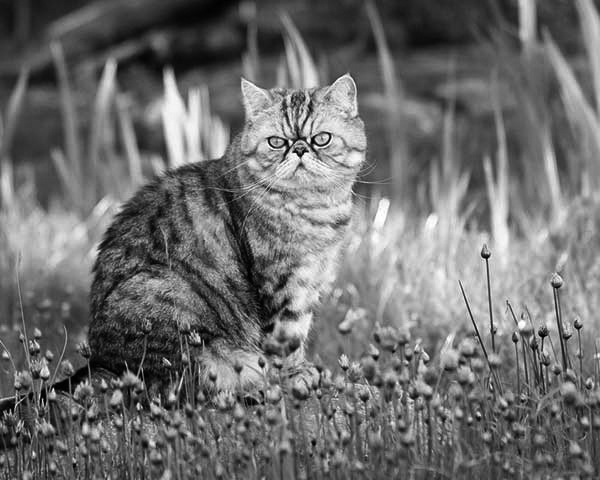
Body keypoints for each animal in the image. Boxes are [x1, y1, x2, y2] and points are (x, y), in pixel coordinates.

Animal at [87, 72, 368, 394]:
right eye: (276, 142)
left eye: (321, 138)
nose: (298, 149)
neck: (313, 207)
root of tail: (99, 362)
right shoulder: (281, 283)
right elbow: (286, 337)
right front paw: (293, 375)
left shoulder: (308, 283)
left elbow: (298, 330)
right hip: (168, 293)